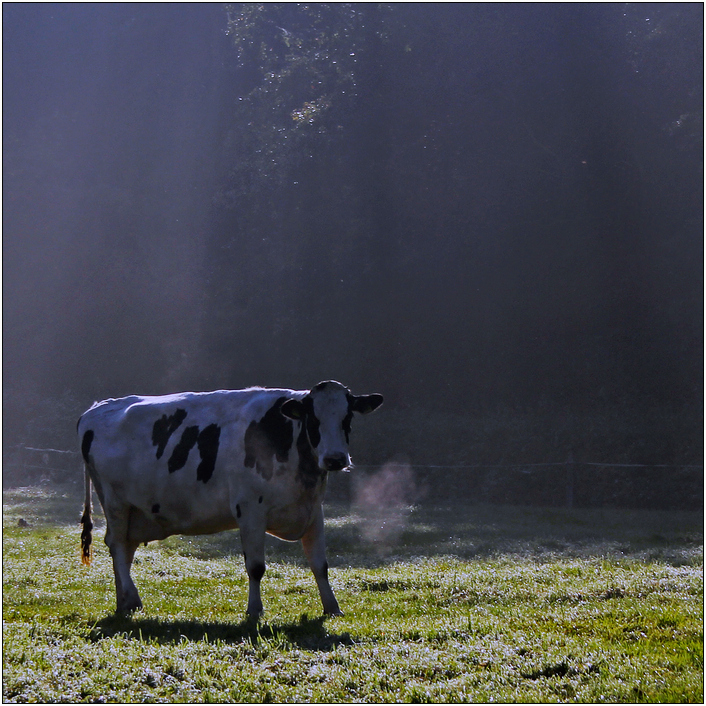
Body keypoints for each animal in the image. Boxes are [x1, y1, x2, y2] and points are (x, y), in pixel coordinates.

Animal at [76, 380, 380, 616]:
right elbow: (256, 567)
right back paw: (132, 598)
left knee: (124, 548)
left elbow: (320, 565)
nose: (335, 459)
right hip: (115, 502)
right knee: (117, 545)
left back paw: (124, 602)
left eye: (347, 418)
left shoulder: (313, 510)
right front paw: (255, 610)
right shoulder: (250, 509)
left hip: (133, 511)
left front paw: (332, 607)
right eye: (313, 419)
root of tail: (95, 409)